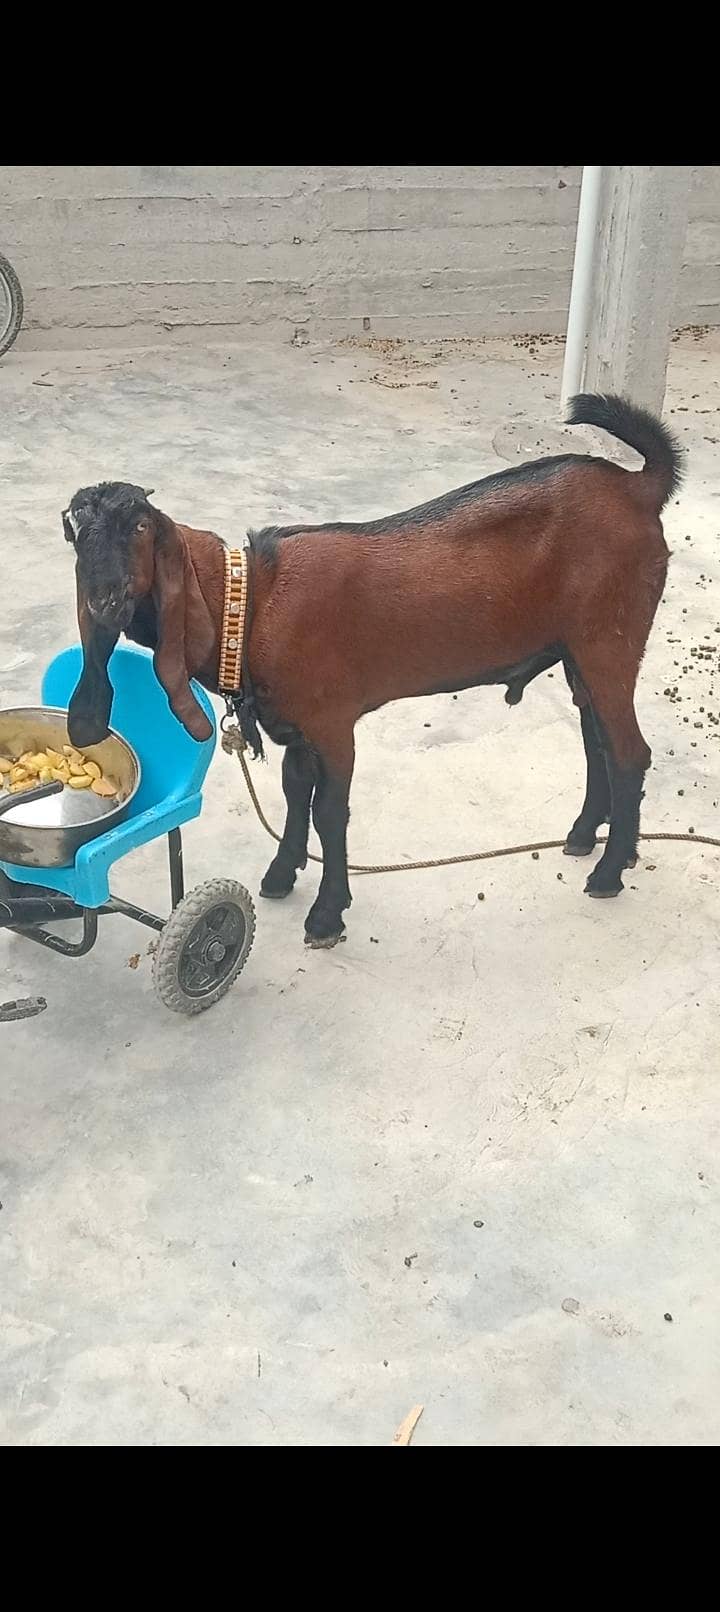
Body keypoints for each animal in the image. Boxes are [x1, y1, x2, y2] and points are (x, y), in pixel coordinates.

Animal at [63, 393, 682, 948]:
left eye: (140, 528)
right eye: (75, 533)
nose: (104, 601)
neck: (255, 601)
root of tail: (637, 489)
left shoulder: (334, 722)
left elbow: (329, 812)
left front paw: (326, 915)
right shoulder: (298, 726)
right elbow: (295, 792)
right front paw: (281, 875)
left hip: (608, 641)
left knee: (629, 752)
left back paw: (608, 873)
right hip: (578, 653)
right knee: (597, 741)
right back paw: (588, 838)